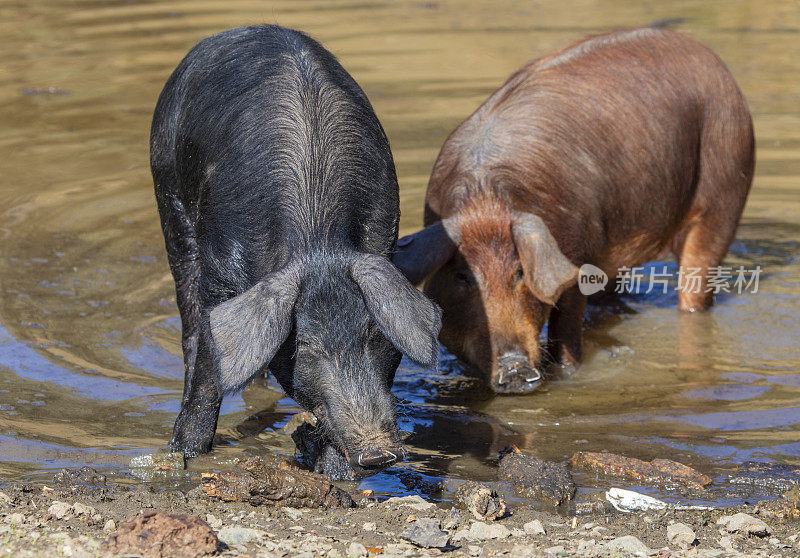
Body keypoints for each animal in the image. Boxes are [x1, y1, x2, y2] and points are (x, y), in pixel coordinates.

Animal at [150, 24, 438, 474]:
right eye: (305, 347)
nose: (378, 453)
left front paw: (335, 474)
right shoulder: (220, 265)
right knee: (190, 324)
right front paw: (184, 453)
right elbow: (210, 358)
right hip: (169, 197)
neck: (317, 241)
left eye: (374, 336)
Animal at [396, 29, 752, 394]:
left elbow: (566, 334)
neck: (485, 199)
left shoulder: (578, 254)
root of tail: (710, 58)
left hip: (725, 191)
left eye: (520, 272)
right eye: (463, 276)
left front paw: (567, 373)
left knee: (697, 283)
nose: (515, 369)